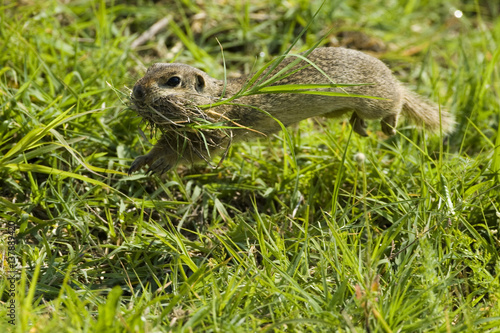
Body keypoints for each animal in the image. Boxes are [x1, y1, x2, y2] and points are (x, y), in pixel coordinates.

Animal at [128, 48, 454, 175]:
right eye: (149, 68)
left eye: (173, 81)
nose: (137, 92)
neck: (219, 98)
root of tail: (390, 75)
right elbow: (161, 145)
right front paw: (142, 161)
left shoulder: (216, 135)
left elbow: (190, 154)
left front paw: (164, 163)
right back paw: (359, 126)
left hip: (376, 100)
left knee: (396, 102)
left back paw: (388, 125)